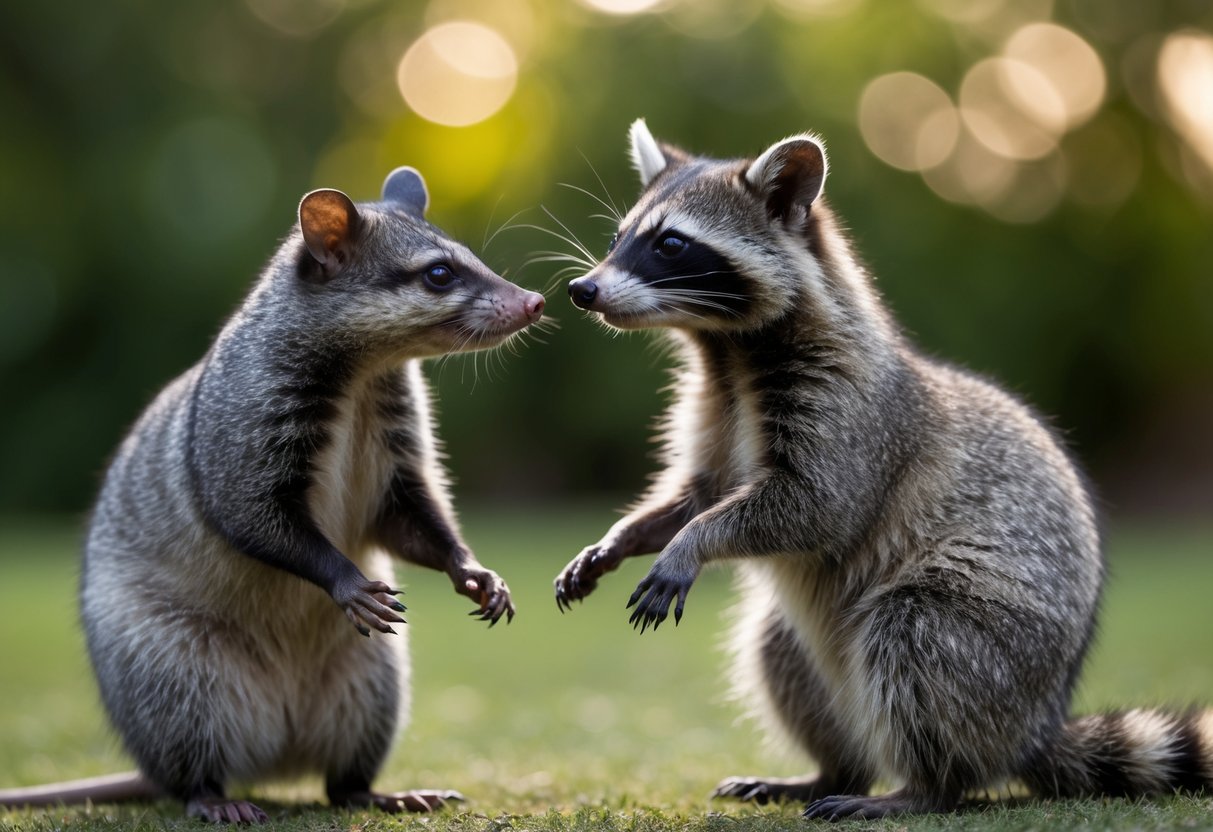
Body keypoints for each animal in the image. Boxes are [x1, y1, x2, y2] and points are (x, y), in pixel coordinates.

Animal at [553, 119, 1213, 819]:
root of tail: (1035, 727)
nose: (582, 290)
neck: (728, 351)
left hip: (993, 639)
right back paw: (833, 770)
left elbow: (817, 507)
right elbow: (700, 491)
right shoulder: (715, 408)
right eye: (618, 239)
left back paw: (923, 787)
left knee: (915, 639)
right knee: (776, 647)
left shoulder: (854, 413)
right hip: (821, 641)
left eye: (671, 244)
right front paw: (629, 535)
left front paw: (693, 541)